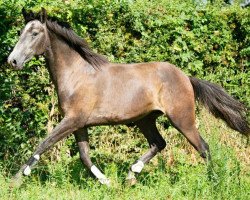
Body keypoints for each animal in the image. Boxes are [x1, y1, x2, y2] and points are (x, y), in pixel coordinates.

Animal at [6, 8, 249, 185]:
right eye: (20, 33)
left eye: (34, 33)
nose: (12, 61)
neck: (76, 74)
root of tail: (186, 78)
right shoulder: (79, 124)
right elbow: (84, 156)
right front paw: (107, 182)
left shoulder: (72, 120)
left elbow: (42, 144)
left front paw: (15, 181)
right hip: (145, 119)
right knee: (159, 143)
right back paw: (132, 174)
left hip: (182, 119)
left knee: (203, 148)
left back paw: (214, 181)